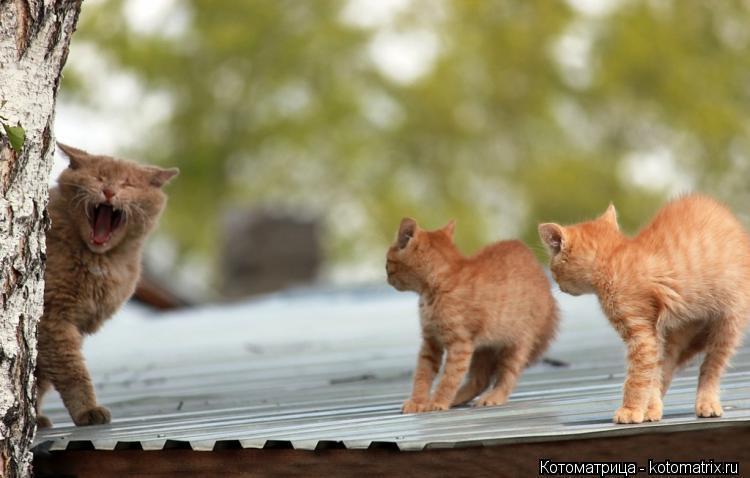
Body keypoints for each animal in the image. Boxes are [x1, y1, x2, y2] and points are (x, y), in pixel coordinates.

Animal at [37, 144, 179, 428]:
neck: (100, 261)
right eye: (99, 177)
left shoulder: (71, 325)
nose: (109, 191)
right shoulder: (54, 318)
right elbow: (71, 370)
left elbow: (43, 378)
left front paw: (35, 417)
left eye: (127, 183)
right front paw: (86, 410)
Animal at [388, 218, 560, 412]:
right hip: (484, 347)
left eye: (388, 261)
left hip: (517, 342)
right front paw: (418, 401)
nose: (387, 276)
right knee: (480, 380)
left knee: (508, 376)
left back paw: (494, 397)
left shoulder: (460, 344)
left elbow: (450, 378)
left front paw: (438, 402)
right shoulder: (431, 342)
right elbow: (422, 374)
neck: (434, 289)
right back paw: (457, 398)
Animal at [540, 196, 750, 424]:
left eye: (553, 268)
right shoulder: (653, 333)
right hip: (678, 332)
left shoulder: (641, 333)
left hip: (729, 321)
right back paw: (654, 407)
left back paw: (707, 402)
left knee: (711, 366)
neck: (612, 262)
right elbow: (652, 373)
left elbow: (637, 378)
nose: (558, 285)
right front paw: (647, 408)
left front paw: (630, 410)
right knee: (666, 368)